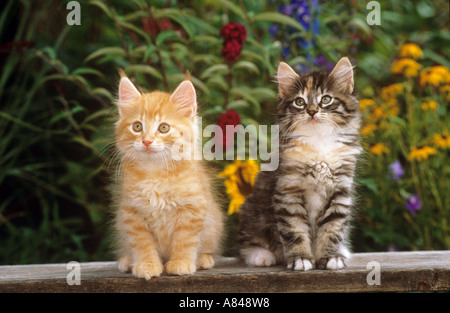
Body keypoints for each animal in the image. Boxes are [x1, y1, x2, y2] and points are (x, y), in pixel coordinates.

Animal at [113, 75, 222, 278]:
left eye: (163, 128)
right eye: (137, 126)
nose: (147, 141)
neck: (155, 173)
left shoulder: (193, 209)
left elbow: (185, 240)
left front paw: (181, 263)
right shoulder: (132, 213)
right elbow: (142, 243)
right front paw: (147, 265)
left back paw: (203, 259)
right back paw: (127, 261)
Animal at [239, 57, 362, 270]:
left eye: (326, 99)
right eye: (299, 102)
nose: (311, 111)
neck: (319, 141)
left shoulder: (340, 193)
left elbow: (332, 229)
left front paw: (331, 256)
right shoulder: (288, 192)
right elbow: (294, 231)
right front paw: (301, 258)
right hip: (252, 212)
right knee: (248, 243)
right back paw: (261, 255)